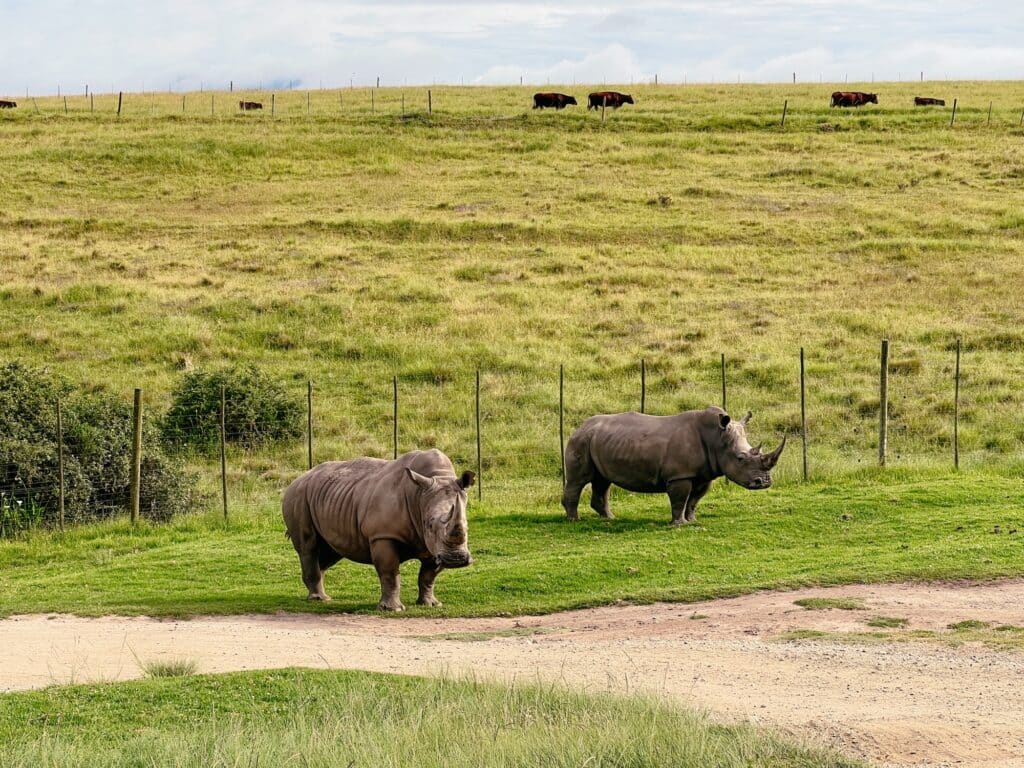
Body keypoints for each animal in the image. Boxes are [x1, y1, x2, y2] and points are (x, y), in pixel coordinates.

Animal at [282, 449, 475, 611]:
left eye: (467, 525)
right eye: (429, 524)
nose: (456, 559)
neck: (419, 496)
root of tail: (297, 478)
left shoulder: (433, 544)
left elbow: (428, 575)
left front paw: (430, 604)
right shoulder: (383, 535)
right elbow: (390, 572)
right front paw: (392, 609)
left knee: (331, 551)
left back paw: (322, 596)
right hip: (298, 496)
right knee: (309, 547)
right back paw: (318, 599)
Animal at [562, 407, 785, 526]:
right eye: (740, 458)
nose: (764, 483)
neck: (716, 439)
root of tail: (581, 426)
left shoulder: (704, 474)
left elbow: (693, 500)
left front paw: (692, 521)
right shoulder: (680, 475)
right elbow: (680, 499)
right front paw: (678, 525)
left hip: (599, 440)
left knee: (602, 481)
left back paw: (610, 518)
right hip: (581, 440)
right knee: (578, 480)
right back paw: (574, 521)